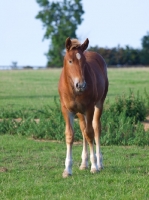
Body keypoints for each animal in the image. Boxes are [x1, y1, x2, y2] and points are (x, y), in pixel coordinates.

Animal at [58, 36, 108, 177]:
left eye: (84, 62)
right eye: (70, 61)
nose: (81, 85)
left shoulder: (89, 108)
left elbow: (90, 133)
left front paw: (94, 166)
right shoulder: (66, 110)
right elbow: (70, 135)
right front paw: (67, 169)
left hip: (99, 104)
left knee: (95, 128)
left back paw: (99, 163)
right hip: (80, 113)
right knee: (83, 129)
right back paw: (84, 163)